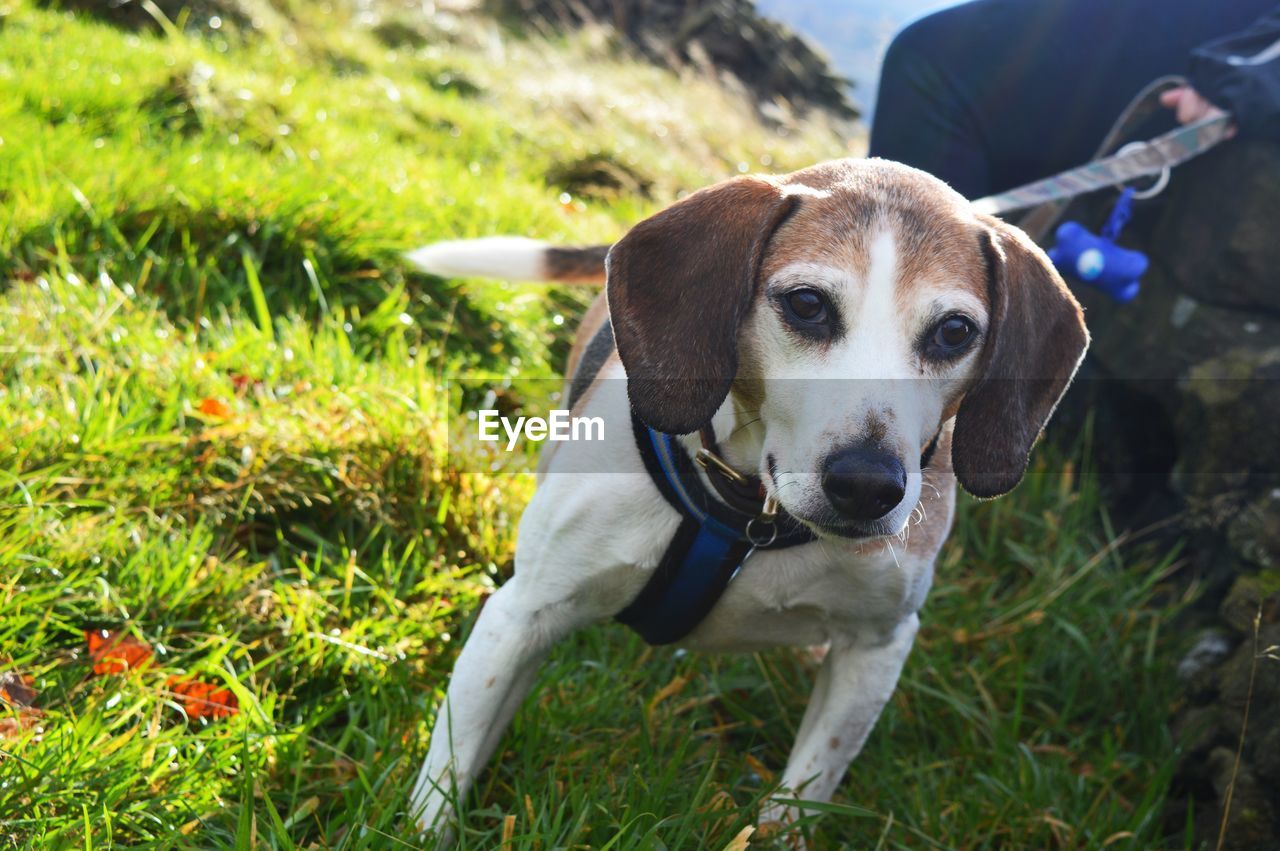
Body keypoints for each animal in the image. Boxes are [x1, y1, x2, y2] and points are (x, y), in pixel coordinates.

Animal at [404, 157, 1085, 834]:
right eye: (807, 304)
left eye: (953, 331)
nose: (867, 486)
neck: (751, 510)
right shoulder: (522, 615)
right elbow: (448, 773)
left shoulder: (876, 648)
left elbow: (800, 798)